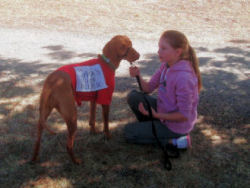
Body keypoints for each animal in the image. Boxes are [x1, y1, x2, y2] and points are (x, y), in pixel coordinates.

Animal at [31, 35, 140, 163]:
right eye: (124, 46)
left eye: (131, 44)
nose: (139, 55)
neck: (106, 62)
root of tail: (51, 81)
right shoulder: (105, 100)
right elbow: (106, 123)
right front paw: (108, 136)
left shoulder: (93, 99)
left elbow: (92, 120)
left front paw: (93, 132)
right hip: (72, 116)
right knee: (68, 145)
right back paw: (76, 161)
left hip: (44, 114)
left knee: (37, 139)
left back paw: (34, 158)